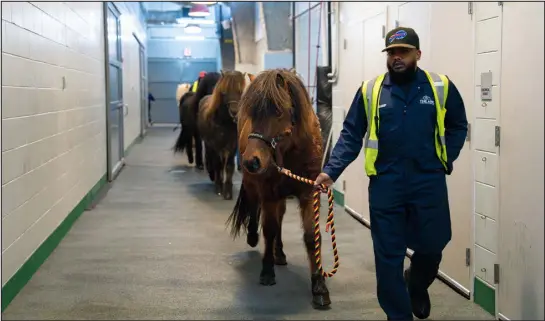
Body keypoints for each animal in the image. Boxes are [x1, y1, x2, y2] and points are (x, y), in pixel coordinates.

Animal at [198, 71, 253, 199]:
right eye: (224, 92)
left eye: (240, 91)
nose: (234, 112)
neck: (225, 123)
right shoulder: (215, 145)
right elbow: (218, 164)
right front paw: (219, 188)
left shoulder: (232, 146)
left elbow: (229, 166)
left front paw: (227, 191)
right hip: (208, 145)